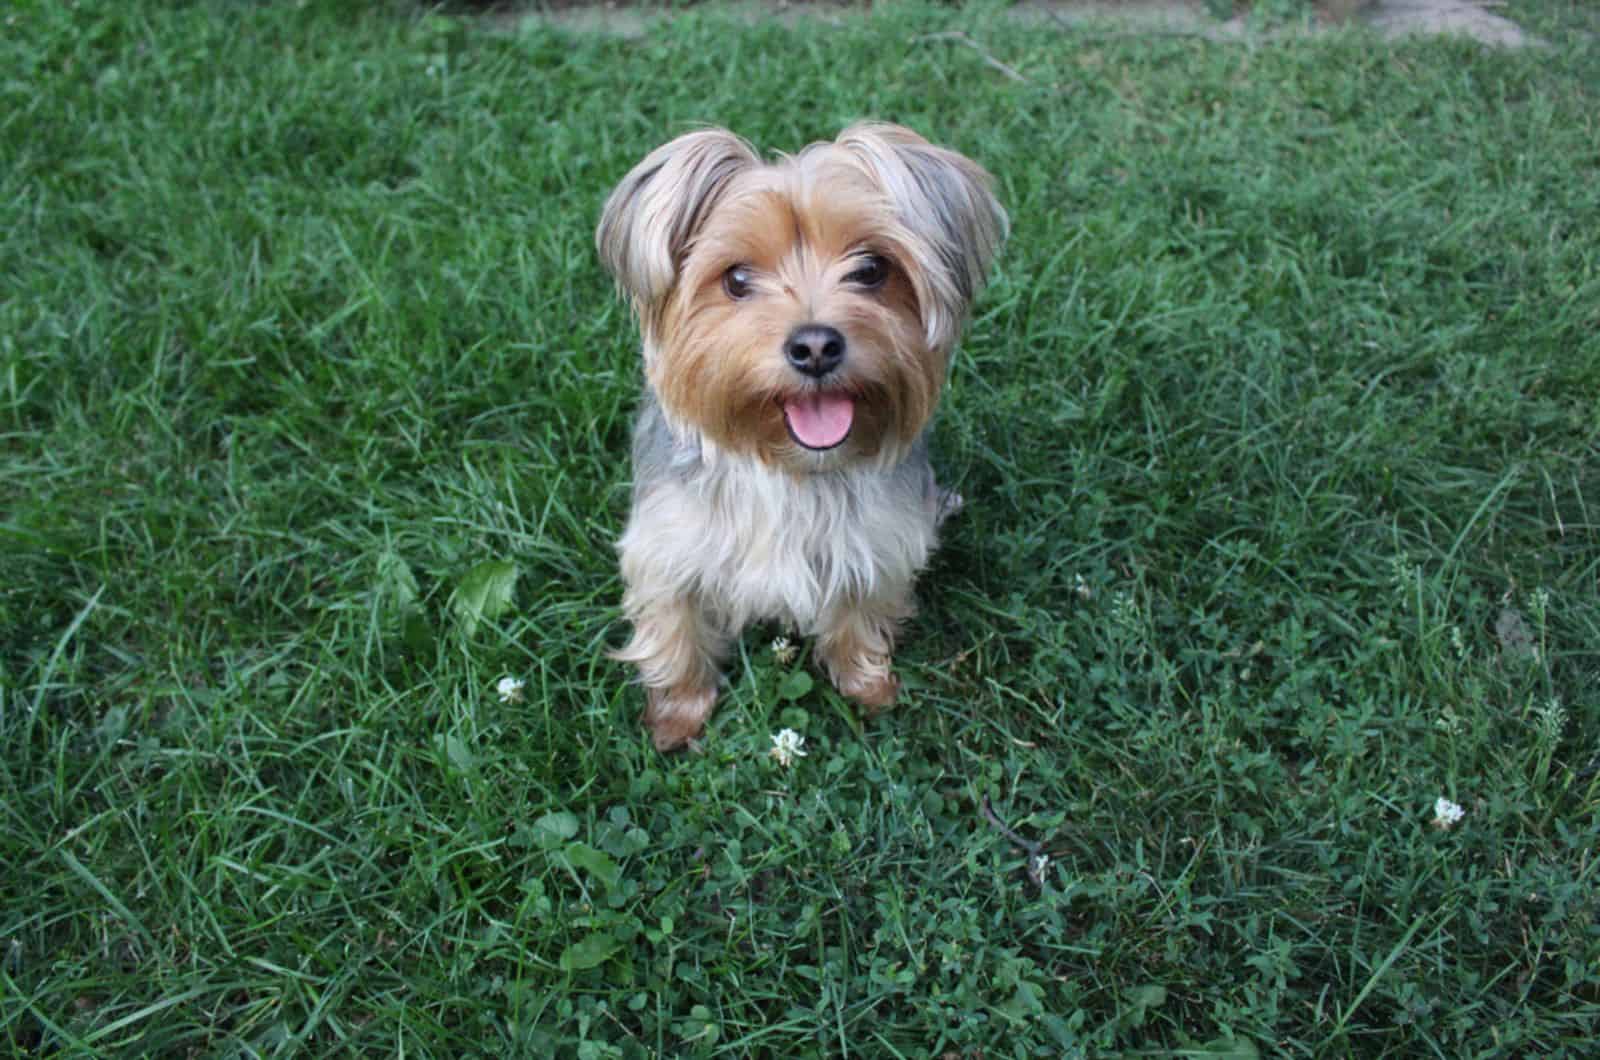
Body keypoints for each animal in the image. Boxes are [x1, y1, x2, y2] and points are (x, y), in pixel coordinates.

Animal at [595, 124, 1004, 752]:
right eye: (738, 279)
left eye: (871, 268)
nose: (815, 345)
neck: (790, 468)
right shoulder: (667, 549)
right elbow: (675, 632)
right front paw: (675, 719)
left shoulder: (877, 544)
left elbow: (860, 615)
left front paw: (868, 685)